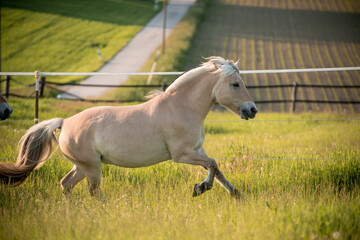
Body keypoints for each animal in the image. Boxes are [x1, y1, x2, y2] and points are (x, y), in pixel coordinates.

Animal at [0, 56, 256, 199]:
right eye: (235, 84)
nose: (252, 109)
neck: (181, 107)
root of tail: (64, 123)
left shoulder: (197, 149)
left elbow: (216, 168)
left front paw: (235, 194)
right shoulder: (181, 154)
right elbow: (213, 165)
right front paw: (200, 188)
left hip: (83, 166)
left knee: (66, 185)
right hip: (92, 167)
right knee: (93, 191)